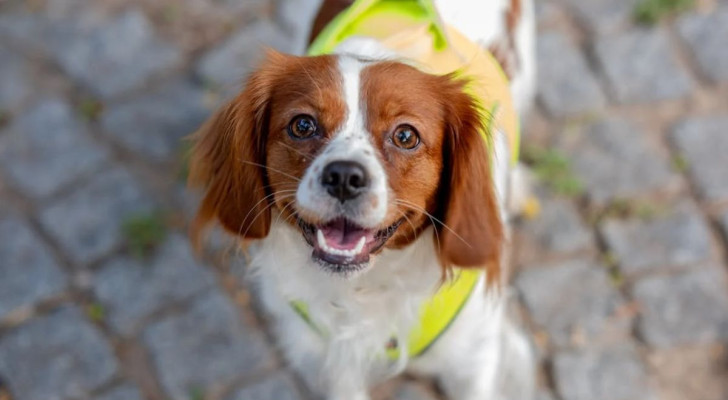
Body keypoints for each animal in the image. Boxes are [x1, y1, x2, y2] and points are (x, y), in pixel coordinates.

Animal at [191, 0, 536, 398]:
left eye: (406, 136)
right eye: (302, 125)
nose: (344, 177)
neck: (367, 287)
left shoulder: (472, 357)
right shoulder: (329, 355)